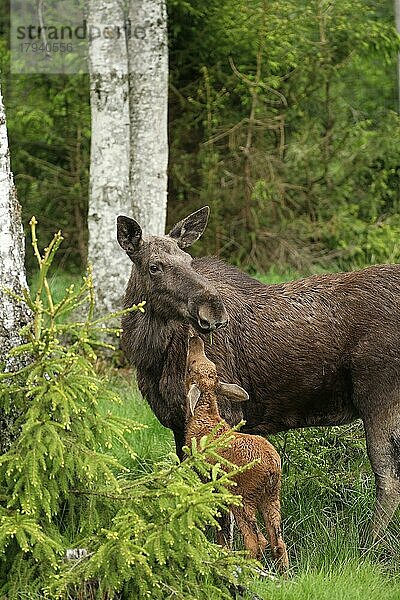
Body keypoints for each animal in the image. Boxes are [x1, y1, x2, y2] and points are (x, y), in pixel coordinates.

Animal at [117, 207, 400, 540]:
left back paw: (368, 543)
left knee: (388, 480)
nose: (213, 312)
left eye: (189, 260)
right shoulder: (177, 424)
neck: (151, 356)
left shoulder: (225, 413)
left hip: (379, 397)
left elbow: (221, 506)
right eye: (154, 267)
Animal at [186, 336, 290, 568]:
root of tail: (273, 469)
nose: (194, 339)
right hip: (272, 496)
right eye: (210, 365)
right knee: (278, 542)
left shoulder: (205, 477)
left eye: (190, 368)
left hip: (243, 496)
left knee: (257, 540)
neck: (203, 414)